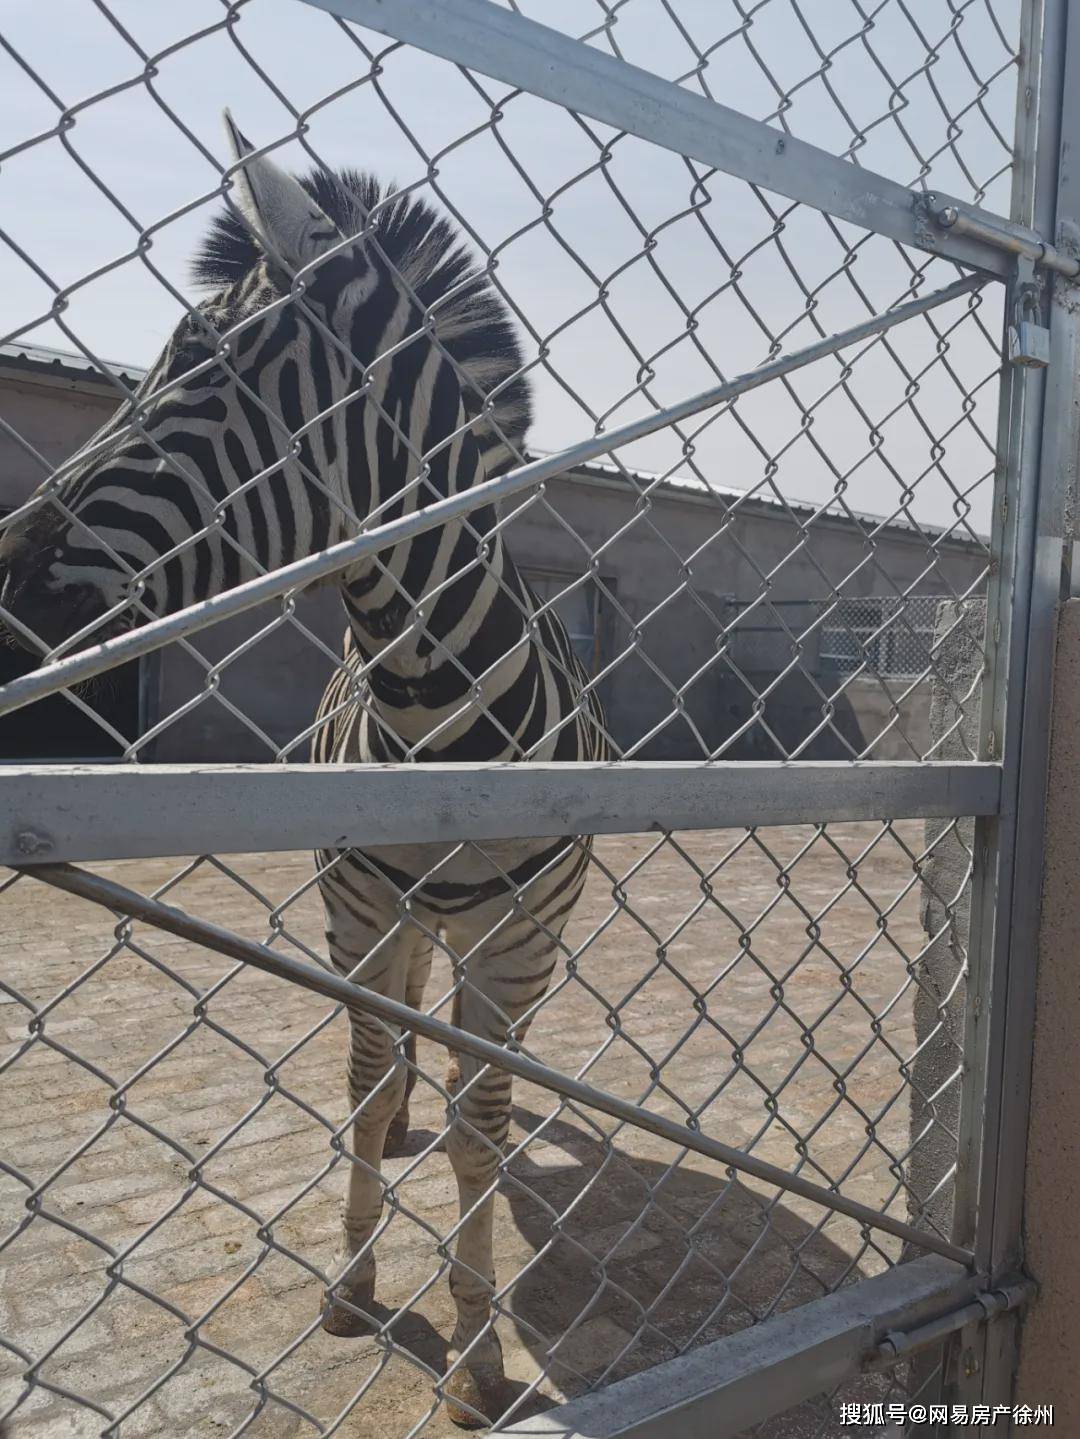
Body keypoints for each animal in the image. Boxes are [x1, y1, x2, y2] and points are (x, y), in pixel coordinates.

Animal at [0, 117, 609, 1421]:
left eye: (201, 362)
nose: (3, 573)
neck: (436, 710)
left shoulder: (516, 936)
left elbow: (484, 1121)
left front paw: (477, 1350)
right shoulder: (360, 909)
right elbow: (368, 1083)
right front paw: (355, 1279)